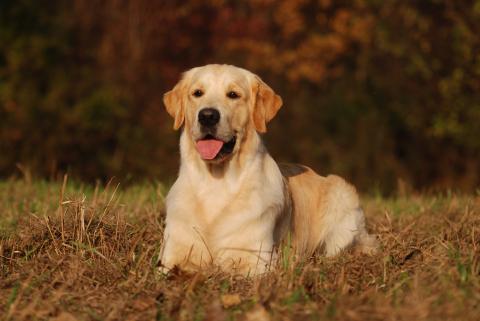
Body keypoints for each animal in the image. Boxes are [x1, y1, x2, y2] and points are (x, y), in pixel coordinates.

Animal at [159, 63, 376, 274]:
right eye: (197, 93)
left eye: (233, 94)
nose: (207, 116)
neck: (216, 182)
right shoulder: (173, 253)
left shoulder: (254, 260)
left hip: (340, 196)